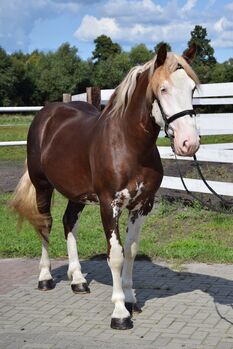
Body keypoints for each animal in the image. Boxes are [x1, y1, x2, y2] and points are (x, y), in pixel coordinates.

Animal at [10, 44, 200, 328]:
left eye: (192, 89)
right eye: (163, 89)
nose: (189, 143)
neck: (129, 145)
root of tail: (46, 115)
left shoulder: (141, 206)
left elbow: (131, 251)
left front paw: (131, 299)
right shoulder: (109, 205)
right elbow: (116, 255)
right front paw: (120, 312)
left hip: (76, 194)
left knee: (69, 222)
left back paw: (78, 281)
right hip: (42, 186)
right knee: (45, 225)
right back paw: (45, 278)